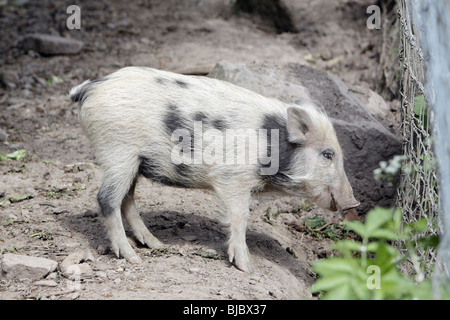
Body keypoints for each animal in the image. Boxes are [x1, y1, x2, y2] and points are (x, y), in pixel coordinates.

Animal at [70, 67, 358, 272]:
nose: (354, 203)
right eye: (328, 154)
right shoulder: (233, 178)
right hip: (117, 152)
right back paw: (132, 258)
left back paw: (155, 244)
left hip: (134, 161)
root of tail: (89, 88)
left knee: (127, 200)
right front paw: (247, 267)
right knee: (106, 199)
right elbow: (240, 216)